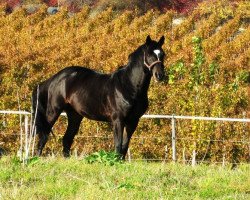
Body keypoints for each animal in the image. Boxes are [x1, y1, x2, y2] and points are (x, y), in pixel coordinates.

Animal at [32, 35, 166, 159]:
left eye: (163, 54)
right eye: (149, 55)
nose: (160, 75)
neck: (128, 85)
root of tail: (53, 79)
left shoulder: (133, 121)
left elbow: (125, 145)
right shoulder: (118, 120)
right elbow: (118, 144)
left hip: (75, 115)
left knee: (66, 139)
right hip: (53, 112)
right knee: (44, 136)